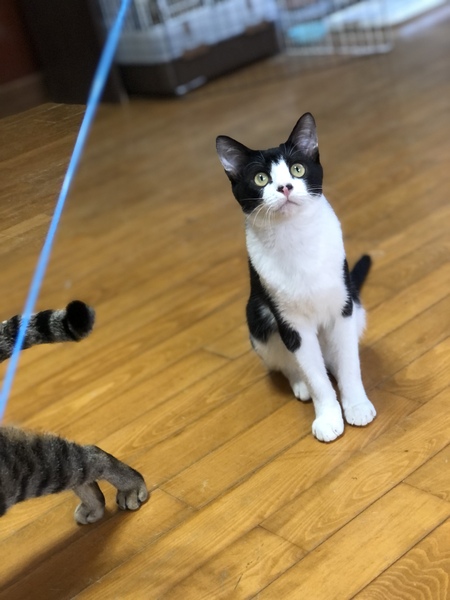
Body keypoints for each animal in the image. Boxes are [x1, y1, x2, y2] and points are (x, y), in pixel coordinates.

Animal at [216, 112, 376, 442]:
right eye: (261, 179)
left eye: (297, 169)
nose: (286, 187)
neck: (296, 237)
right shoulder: (292, 323)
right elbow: (315, 377)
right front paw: (328, 416)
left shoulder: (342, 308)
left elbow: (349, 363)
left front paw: (356, 405)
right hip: (257, 319)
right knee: (291, 362)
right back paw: (300, 383)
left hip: (357, 305)